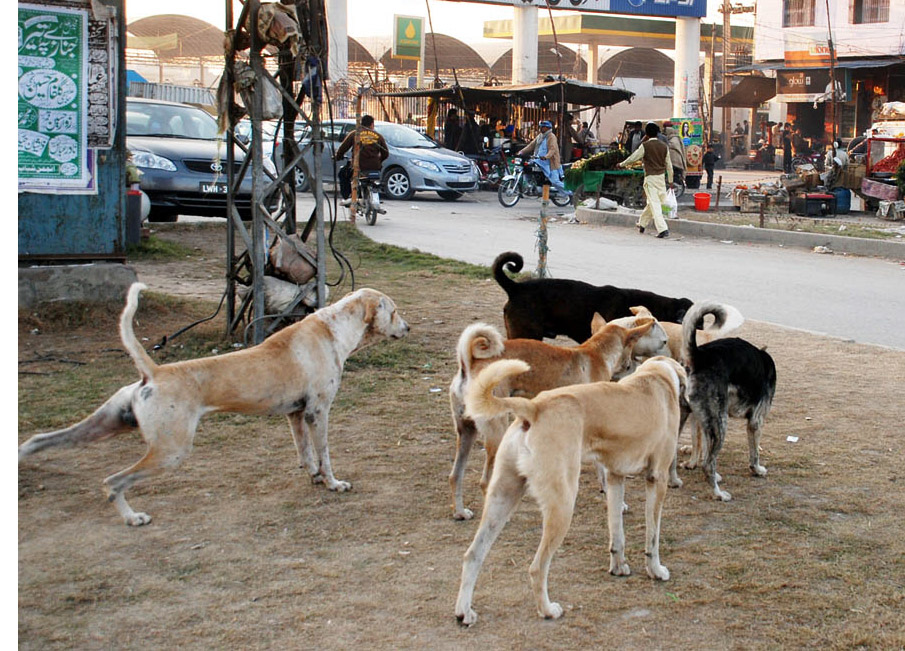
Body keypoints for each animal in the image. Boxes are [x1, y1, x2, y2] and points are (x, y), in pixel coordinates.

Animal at [18, 282, 410, 528]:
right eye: (393, 311)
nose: (407, 328)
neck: (334, 329)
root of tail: (153, 372)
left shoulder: (296, 415)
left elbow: (305, 454)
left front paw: (313, 477)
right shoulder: (318, 412)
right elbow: (325, 455)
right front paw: (333, 484)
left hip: (106, 423)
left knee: (40, 440)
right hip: (171, 450)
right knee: (113, 481)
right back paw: (133, 517)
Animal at [446, 314, 664, 524]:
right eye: (633, 348)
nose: (635, 365)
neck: (597, 353)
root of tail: (469, 364)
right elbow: (603, 469)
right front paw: (620, 504)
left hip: (466, 433)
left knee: (455, 475)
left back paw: (460, 512)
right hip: (496, 434)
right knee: (485, 482)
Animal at [456, 356, 688, 628]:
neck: (657, 375)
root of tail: (534, 407)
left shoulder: (614, 478)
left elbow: (617, 534)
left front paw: (618, 567)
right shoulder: (657, 479)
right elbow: (653, 537)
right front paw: (656, 571)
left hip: (502, 500)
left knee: (473, 555)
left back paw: (464, 612)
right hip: (562, 506)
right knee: (537, 567)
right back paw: (547, 610)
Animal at [680, 304, 772, 502]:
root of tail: (699, 357)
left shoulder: (701, 422)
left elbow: (701, 447)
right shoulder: (756, 421)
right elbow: (755, 453)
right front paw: (757, 470)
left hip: (691, 418)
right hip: (720, 424)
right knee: (708, 465)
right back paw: (719, 494)